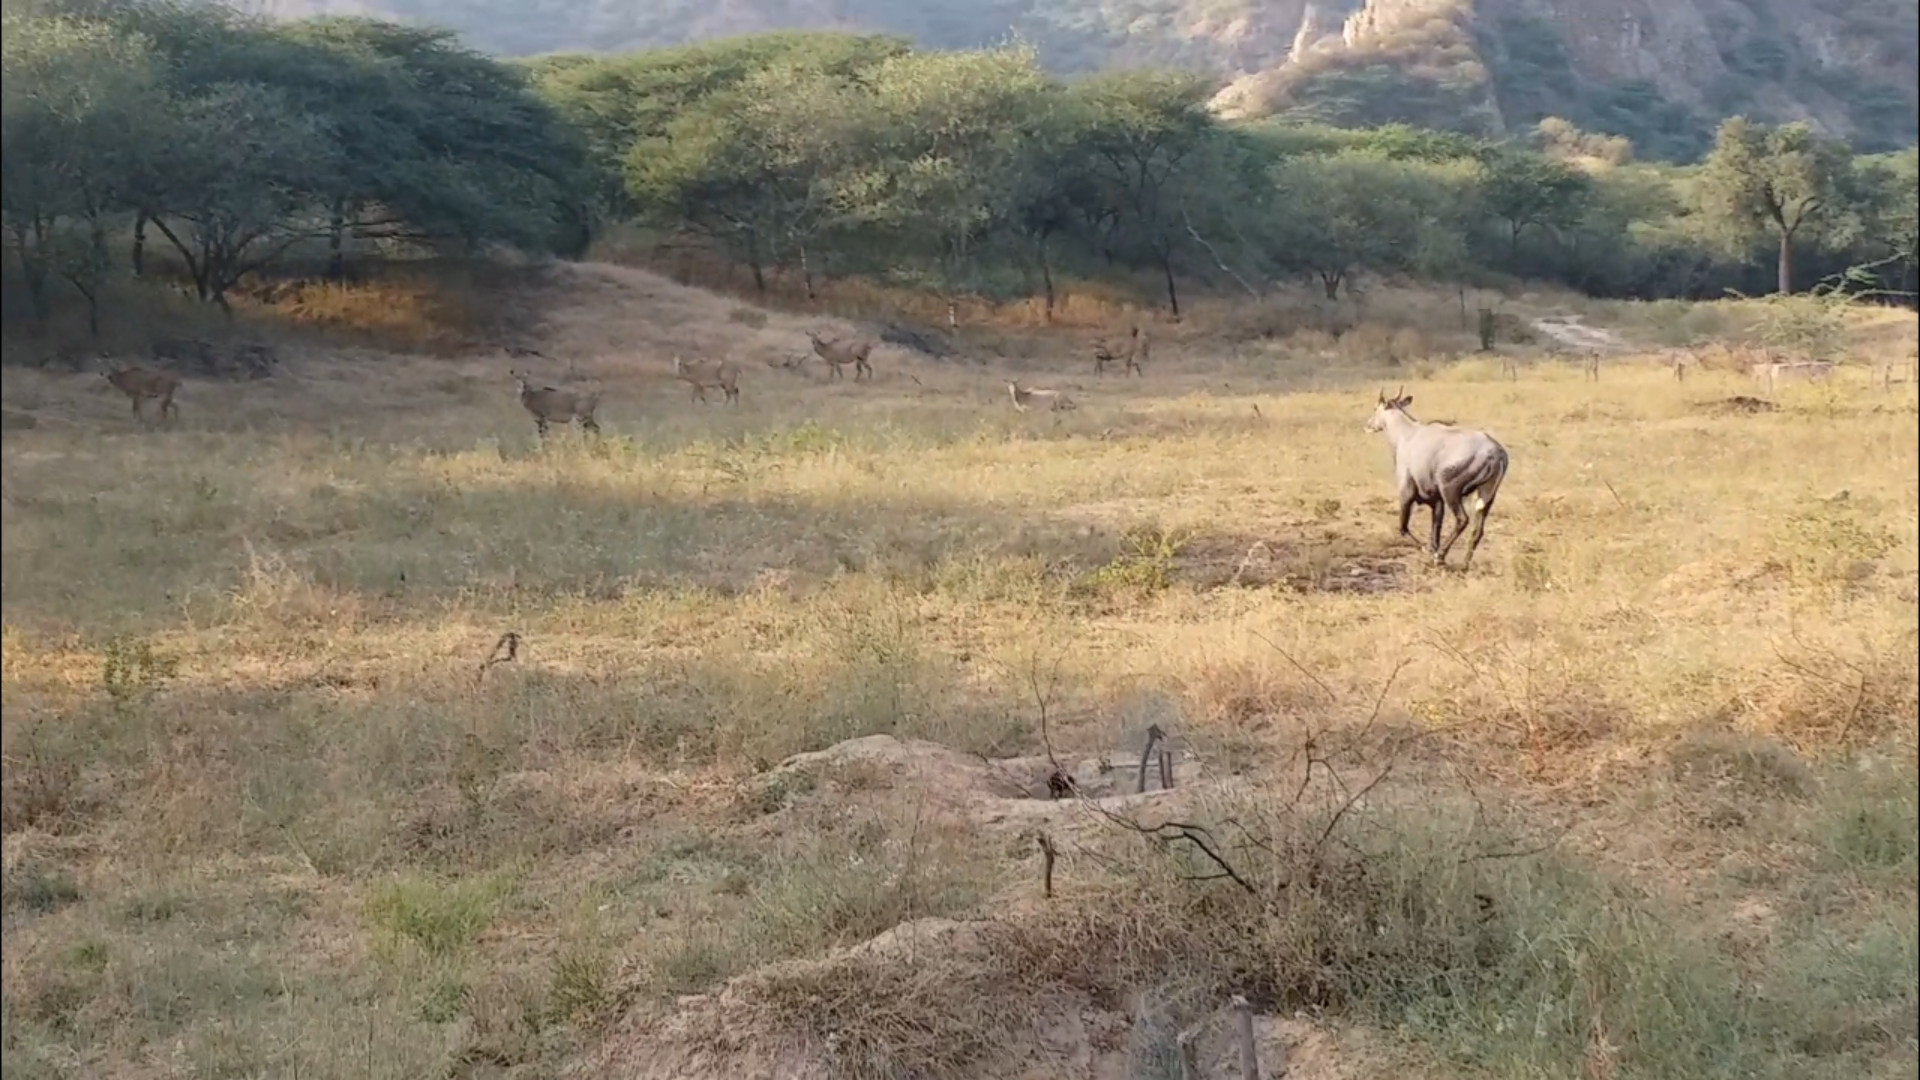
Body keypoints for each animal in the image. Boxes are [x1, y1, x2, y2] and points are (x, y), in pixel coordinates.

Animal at [1367, 386, 1512, 572]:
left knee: (1462, 520)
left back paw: (1441, 556)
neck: (1407, 434)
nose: (1368, 425)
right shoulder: (1436, 500)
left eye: (1375, 408)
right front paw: (1432, 552)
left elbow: (1403, 527)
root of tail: (1495, 452)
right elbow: (1435, 528)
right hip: (1486, 495)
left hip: (1450, 490)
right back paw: (1463, 565)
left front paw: (1428, 551)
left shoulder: (1406, 493)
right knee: (1477, 531)